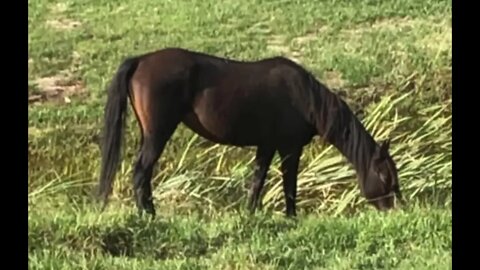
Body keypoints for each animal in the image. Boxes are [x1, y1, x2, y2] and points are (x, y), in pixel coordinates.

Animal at [96, 47, 402, 217]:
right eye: (384, 175)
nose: (395, 209)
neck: (306, 98)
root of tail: (141, 60)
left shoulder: (266, 146)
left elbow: (258, 180)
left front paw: (251, 213)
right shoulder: (290, 148)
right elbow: (289, 184)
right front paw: (291, 217)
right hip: (158, 133)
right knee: (141, 171)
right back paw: (148, 214)